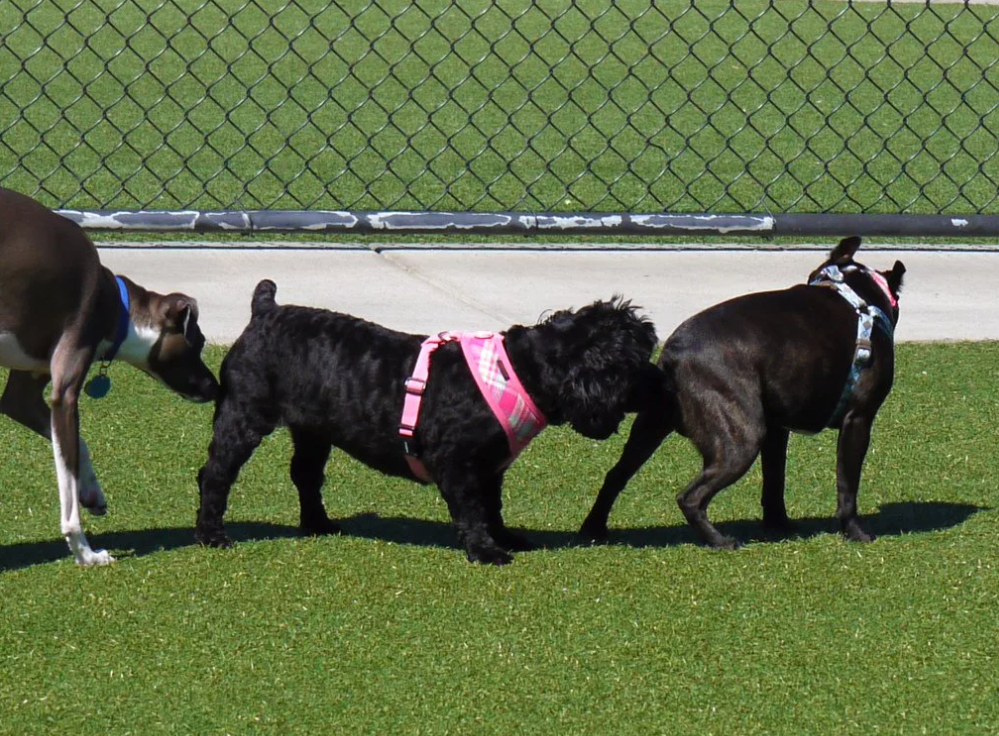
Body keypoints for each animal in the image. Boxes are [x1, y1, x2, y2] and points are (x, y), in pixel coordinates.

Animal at [0, 188, 218, 564]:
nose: (216, 387)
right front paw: (85, 553)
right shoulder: (66, 391)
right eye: (200, 341)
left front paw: (92, 493)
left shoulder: (23, 396)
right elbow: (68, 487)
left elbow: (78, 447)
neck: (117, 305)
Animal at [198, 282, 660, 564]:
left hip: (313, 429)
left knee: (306, 475)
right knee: (215, 474)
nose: (662, 379)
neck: (520, 371)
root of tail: (264, 311)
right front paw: (485, 551)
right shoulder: (456, 461)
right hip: (244, 412)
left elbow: (492, 506)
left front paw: (504, 537)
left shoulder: (491, 467)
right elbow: (472, 509)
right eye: (637, 364)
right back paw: (212, 535)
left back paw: (318, 525)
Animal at [580, 239, 908, 548]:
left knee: (616, 475)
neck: (856, 294)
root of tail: (673, 356)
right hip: (741, 439)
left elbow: (774, 480)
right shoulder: (859, 420)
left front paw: (778, 525)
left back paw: (593, 529)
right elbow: (847, 486)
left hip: (652, 426)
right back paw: (719, 541)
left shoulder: (777, 430)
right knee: (690, 497)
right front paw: (855, 533)